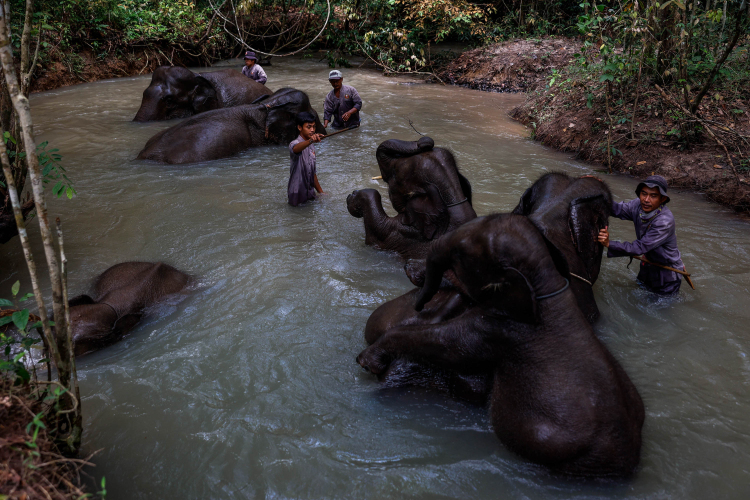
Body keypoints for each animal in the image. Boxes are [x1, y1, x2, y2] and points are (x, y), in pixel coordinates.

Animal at [358, 214, 648, 476]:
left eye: (460, 254)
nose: (410, 269)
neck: (545, 281)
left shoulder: (502, 330)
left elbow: (450, 346)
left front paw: (368, 361)